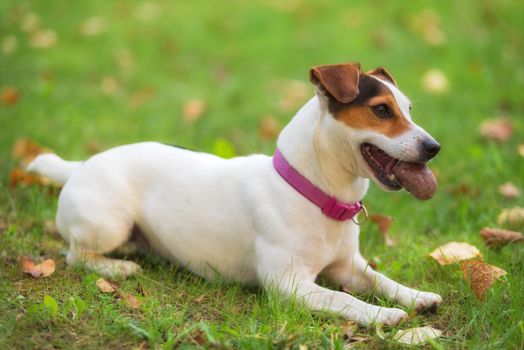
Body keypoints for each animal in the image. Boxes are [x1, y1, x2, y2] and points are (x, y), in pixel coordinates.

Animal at [28, 62, 442, 326]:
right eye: (381, 110)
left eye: (408, 109)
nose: (435, 147)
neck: (313, 192)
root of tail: (79, 166)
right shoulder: (289, 286)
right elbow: (342, 298)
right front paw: (383, 315)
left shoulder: (348, 266)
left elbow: (381, 280)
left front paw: (416, 296)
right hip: (109, 223)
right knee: (75, 255)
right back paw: (117, 266)